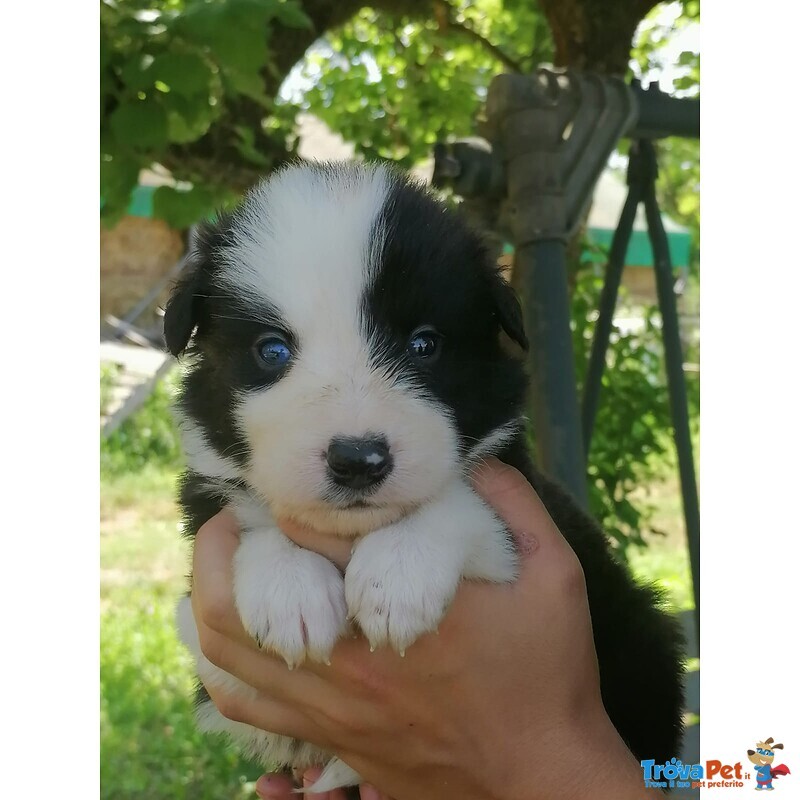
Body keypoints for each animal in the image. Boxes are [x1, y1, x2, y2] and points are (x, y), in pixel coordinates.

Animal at [166, 161, 684, 792]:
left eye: (424, 344)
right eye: (272, 350)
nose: (358, 459)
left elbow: (461, 501)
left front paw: (397, 575)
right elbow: (246, 531)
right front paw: (289, 589)